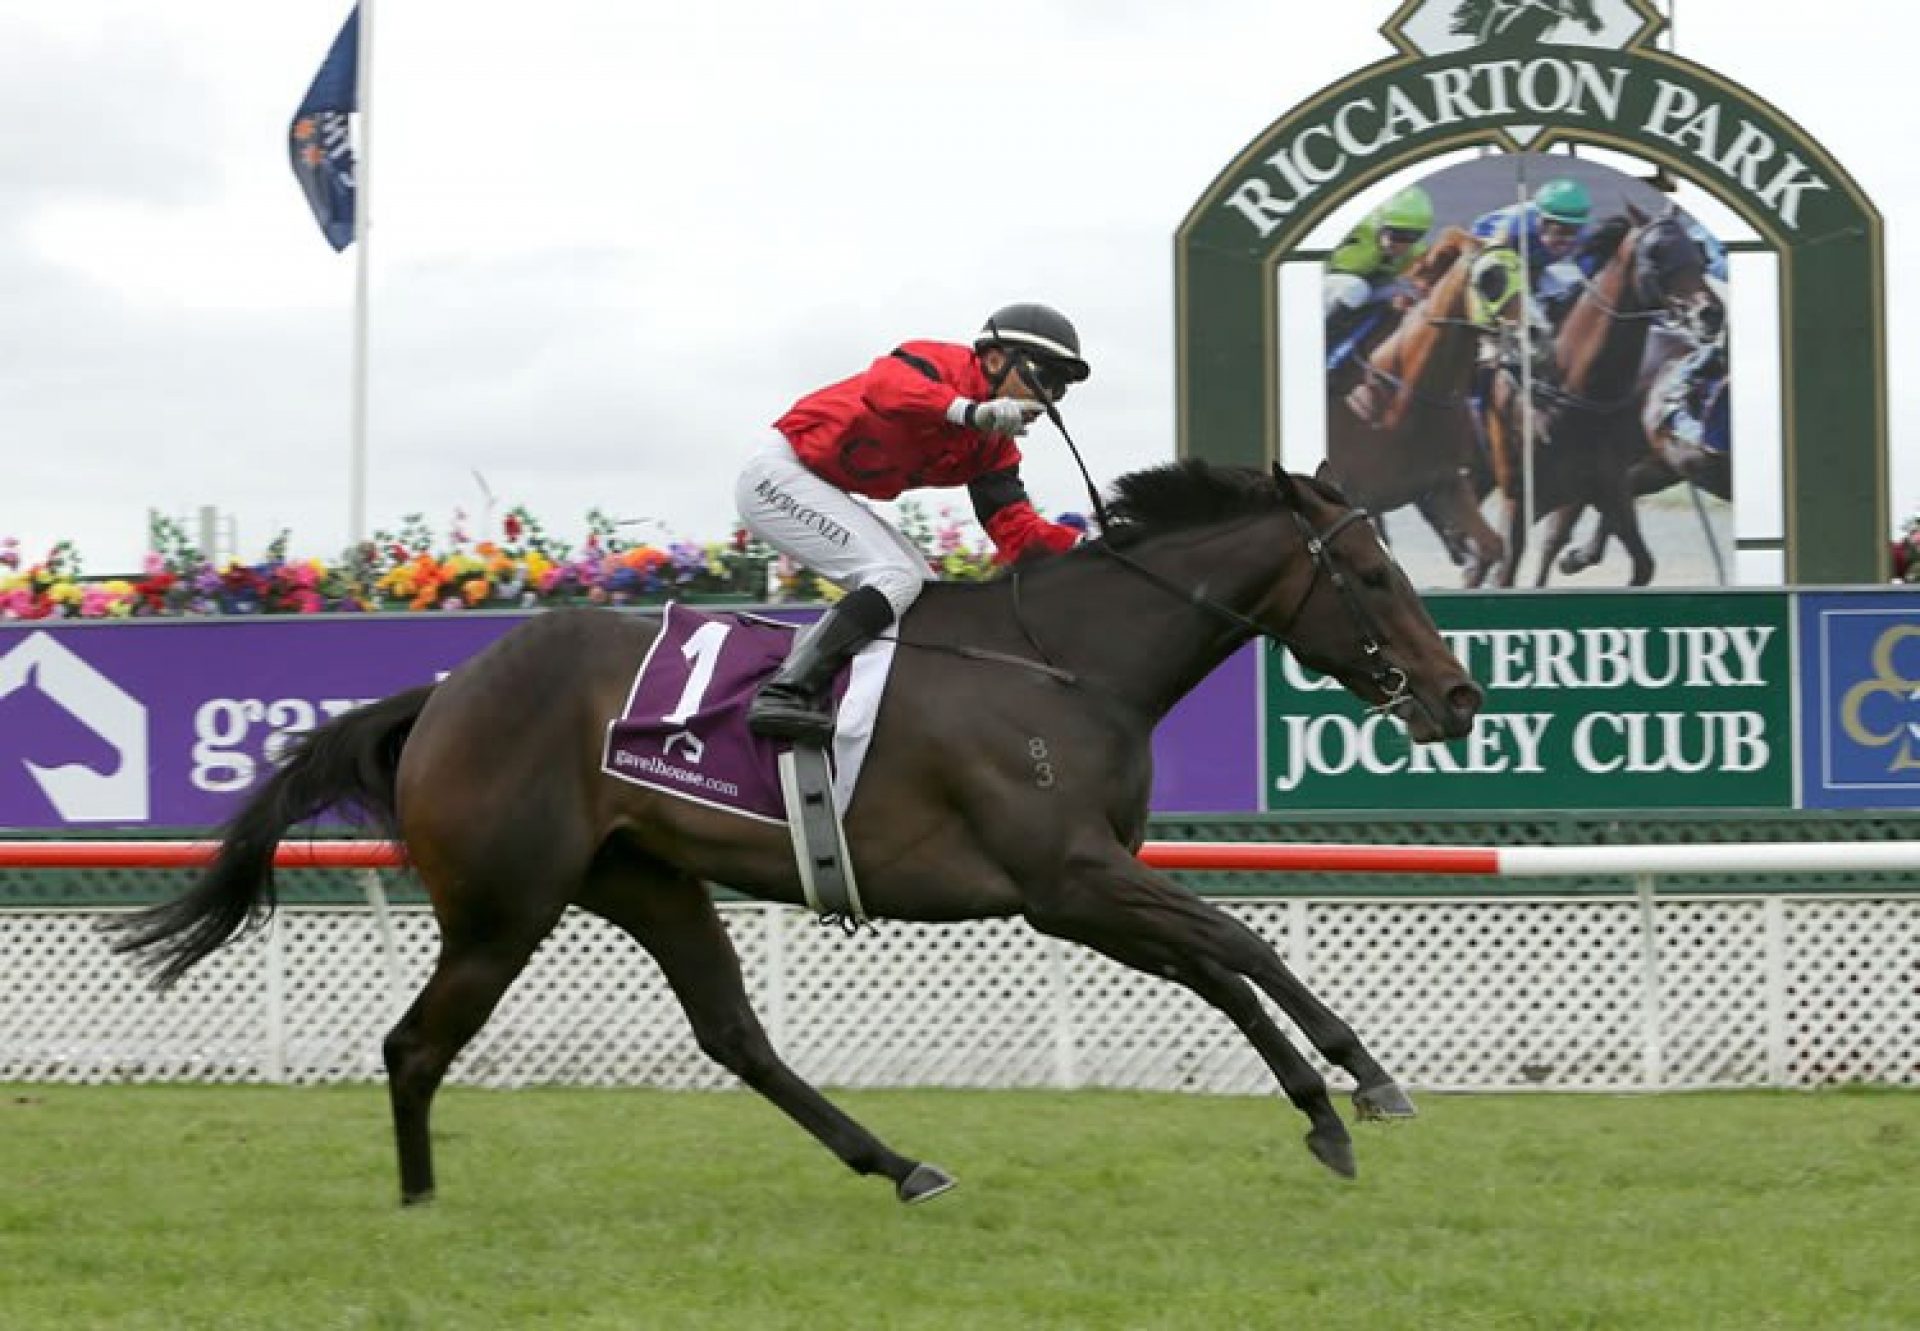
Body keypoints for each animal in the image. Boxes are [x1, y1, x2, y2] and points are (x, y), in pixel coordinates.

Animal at [116, 464, 1482, 1206]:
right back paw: (418, 1199)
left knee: (734, 1035)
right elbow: (1243, 944)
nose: (1460, 695)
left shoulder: (1085, 889)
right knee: (413, 1044)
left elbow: (1219, 965)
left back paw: (900, 1162)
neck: (1067, 664)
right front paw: (1363, 1075)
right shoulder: (1066, 877)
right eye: (1373, 573)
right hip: (506, 903)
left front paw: (1321, 1106)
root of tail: (445, 690)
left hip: (647, 881)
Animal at [1482, 207, 1728, 580]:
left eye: (1698, 252)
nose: (1710, 313)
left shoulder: (1606, 484)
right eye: (1655, 253)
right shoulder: (1519, 497)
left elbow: (1643, 564)